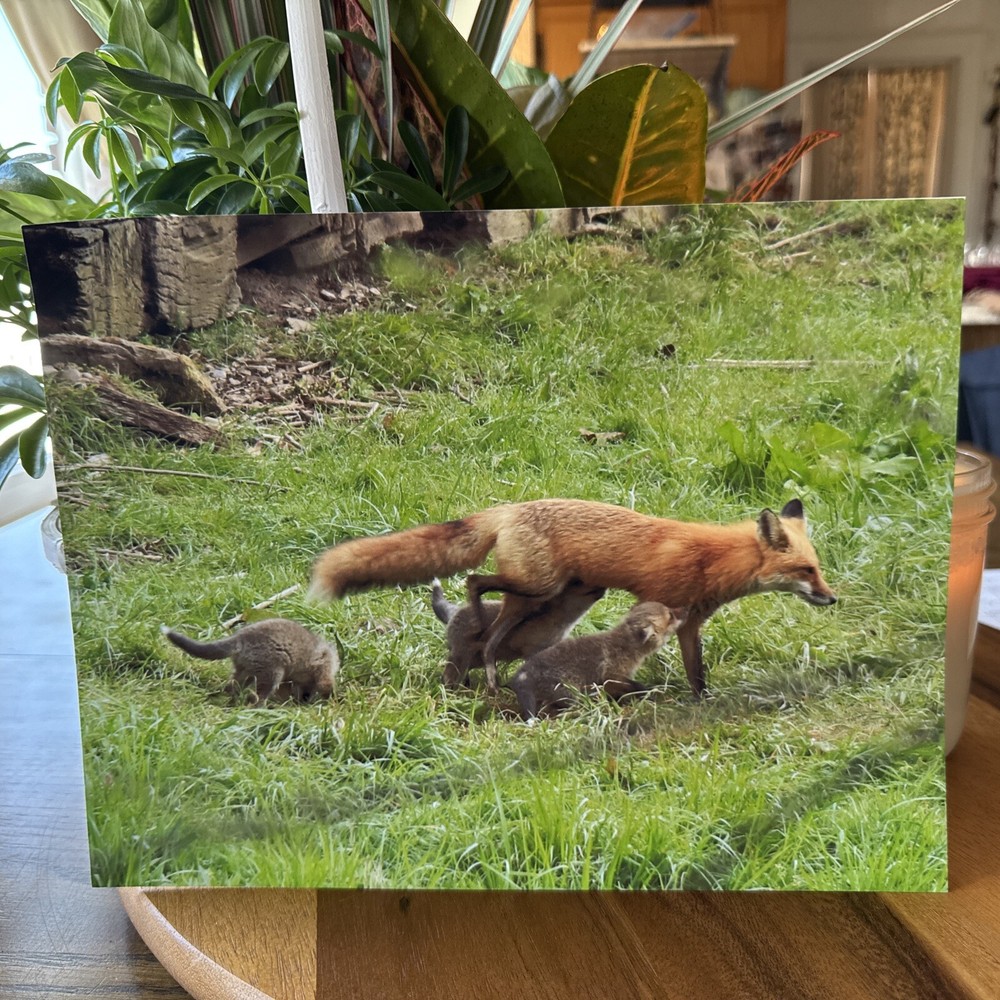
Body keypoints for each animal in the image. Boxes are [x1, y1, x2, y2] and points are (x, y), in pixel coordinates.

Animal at [161, 618, 339, 705]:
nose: (304, 703)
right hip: (272, 674)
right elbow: (324, 686)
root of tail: (240, 637)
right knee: (257, 698)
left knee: (230, 688)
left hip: (245, 672)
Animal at [430, 577, 606, 688]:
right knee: (448, 675)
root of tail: (455, 612)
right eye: (578, 583)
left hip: (474, 660)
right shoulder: (529, 647)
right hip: (461, 658)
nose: (604, 586)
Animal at [508, 602, 685, 720]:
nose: (686, 608)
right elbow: (633, 686)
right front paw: (648, 692)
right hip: (568, 691)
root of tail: (523, 672)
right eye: (670, 616)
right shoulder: (612, 674)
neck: (626, 647)